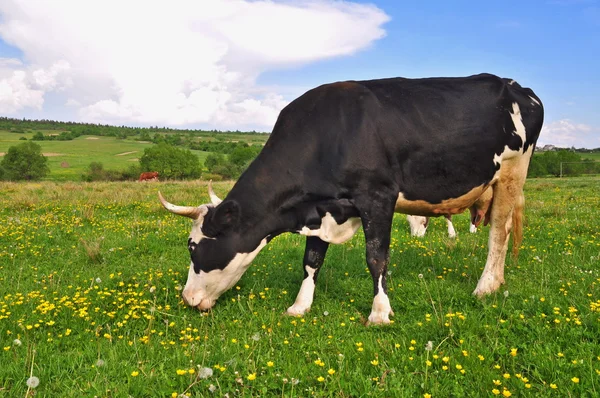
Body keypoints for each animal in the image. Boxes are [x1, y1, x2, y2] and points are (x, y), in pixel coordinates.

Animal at [159, 73, 544, 324]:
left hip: (513, 170)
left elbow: (376, 258)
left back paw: (486, 286)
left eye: (193, 247)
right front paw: (300, 306)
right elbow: (311, 260)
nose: (187, 298)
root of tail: (516, 86)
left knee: (499, 233)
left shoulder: (377, 197)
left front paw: (379, 312)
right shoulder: (319, 208)